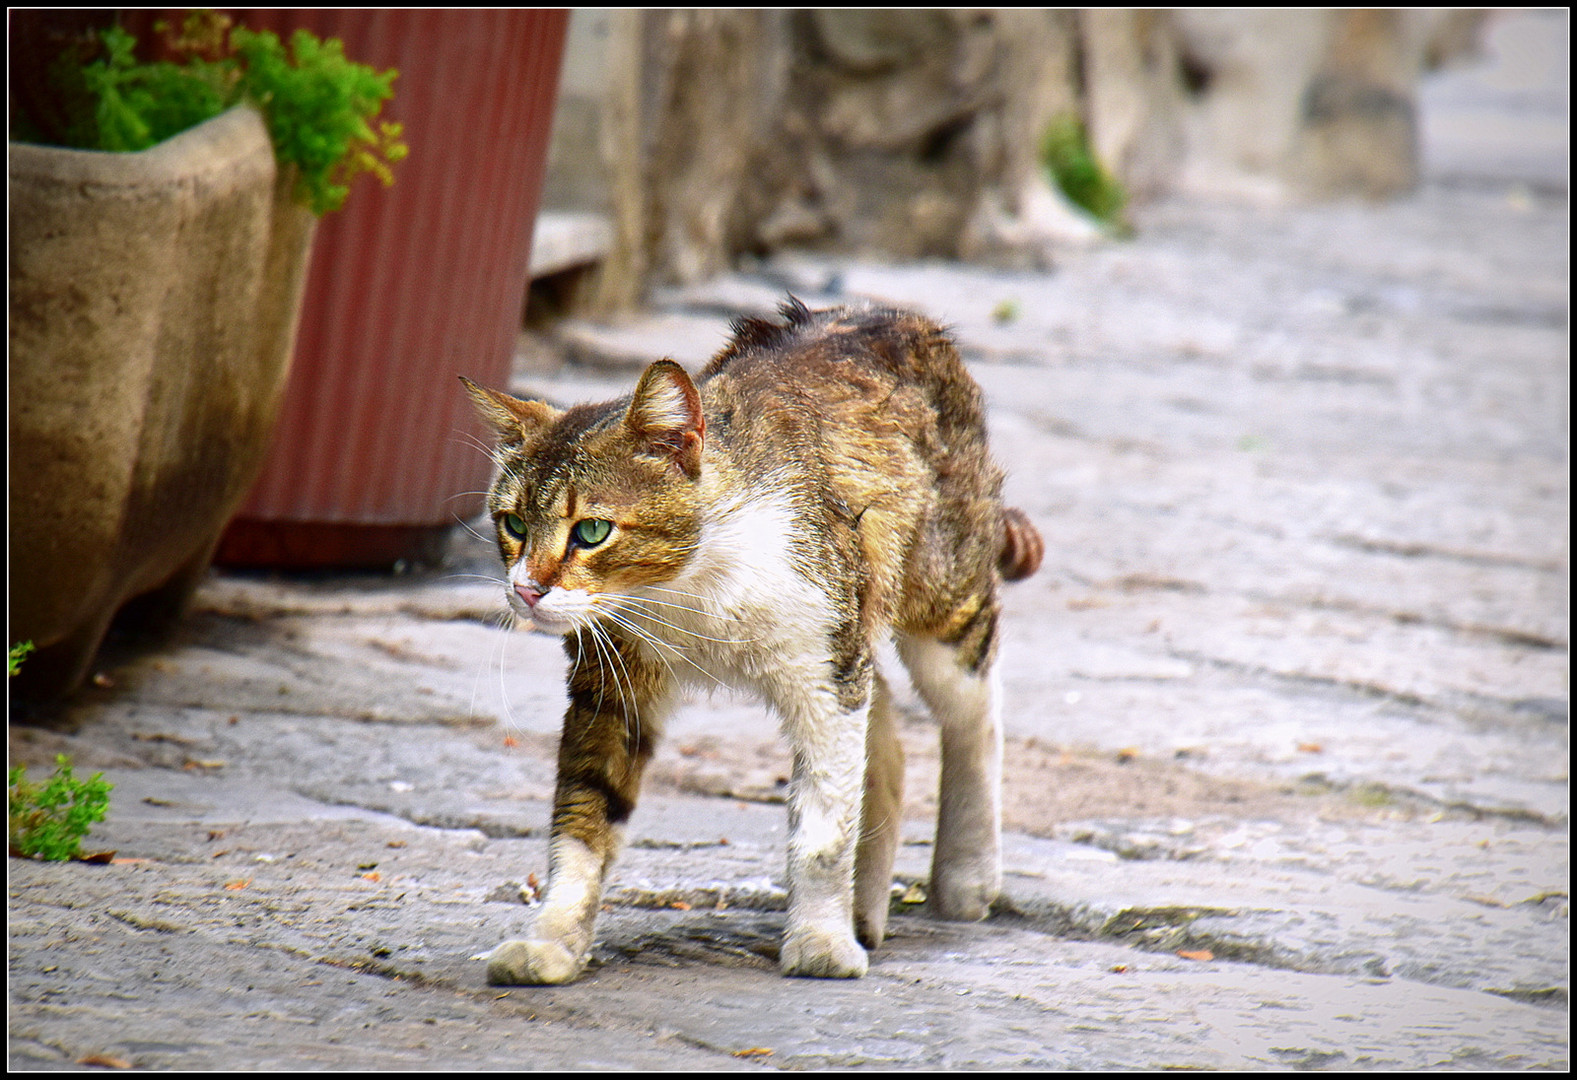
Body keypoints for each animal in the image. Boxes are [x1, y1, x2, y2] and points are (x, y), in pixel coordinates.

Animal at [460, 299, 1040, 983]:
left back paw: (967, 873)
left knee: (973, 704)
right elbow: (584, 811)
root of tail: (892, 313)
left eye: (592, 531)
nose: (526, 590)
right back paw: (866, 910)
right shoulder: (613, 678)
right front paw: (552, 941)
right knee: (888, 738)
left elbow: (823, 826)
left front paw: (819, 943)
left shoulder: (824, 671)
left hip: (937, 588)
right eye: (513, 525)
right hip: (861, 615)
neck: (692, 589)